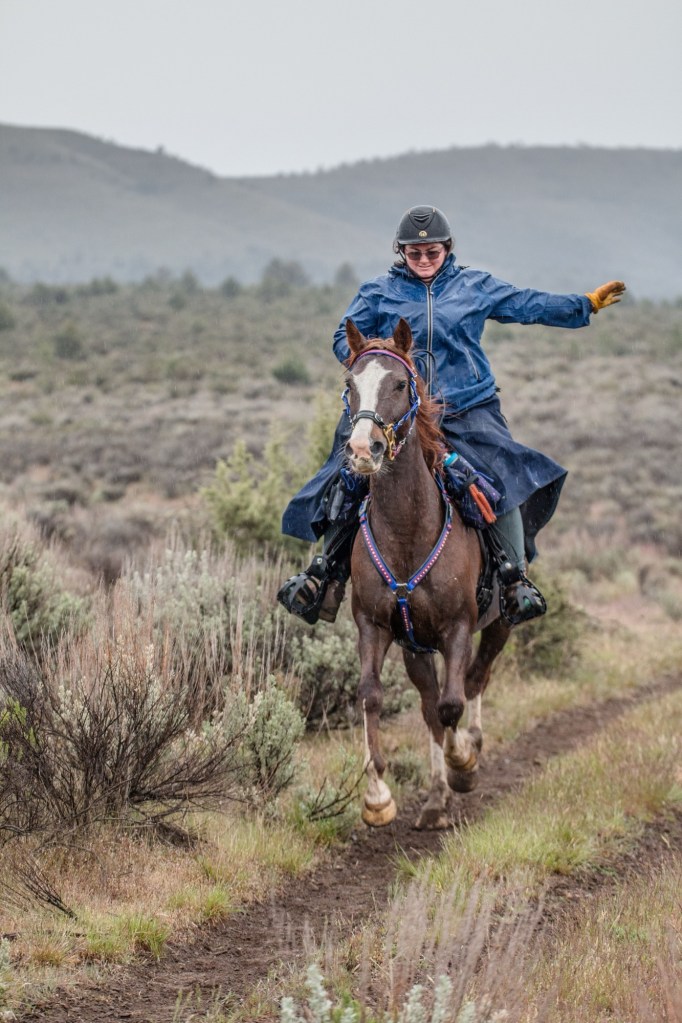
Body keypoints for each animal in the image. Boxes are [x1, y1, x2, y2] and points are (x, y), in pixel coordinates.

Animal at [343, 317, 512, 830]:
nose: (364, 448)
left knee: (474, 681)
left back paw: (469, 753)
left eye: (400, 384)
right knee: (430, 707)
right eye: (350, 385)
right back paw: (436, 800)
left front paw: (465, 762)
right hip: (415, 647)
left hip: (499, 623)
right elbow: (372, 696)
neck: (406, 531)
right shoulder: (375, 626)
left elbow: (453, 702)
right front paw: (377, 796)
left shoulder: (457, 627)